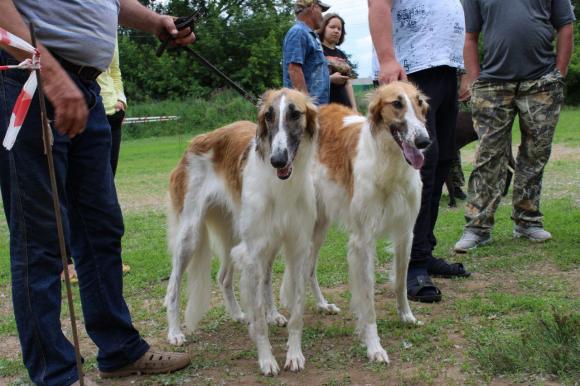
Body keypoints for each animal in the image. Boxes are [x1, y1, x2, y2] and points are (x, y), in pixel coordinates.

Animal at [163, 88, 318, 374]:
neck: (282, 186)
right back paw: (175, 332)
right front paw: (267, 360)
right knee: (173, 288)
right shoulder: (253, 253)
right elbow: (259, 319)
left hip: (240, 235)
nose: (277, 160)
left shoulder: (297, 247)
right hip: (191, 236)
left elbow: (296, 313)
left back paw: (244, 314)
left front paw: (294, 354)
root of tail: (194, 142)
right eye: (268, 116)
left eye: (295, 114)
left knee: (224, 277)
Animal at [304, 81, 430, 362]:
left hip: (320, 226)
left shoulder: (405, 232)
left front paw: (407, 316)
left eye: (420, 102)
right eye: (397, 103)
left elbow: (400, 281)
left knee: (308, 269)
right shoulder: (363, 240)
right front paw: (374, 346)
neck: (390, 164)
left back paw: (322, 305)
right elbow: (367, 299)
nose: (424, 141)